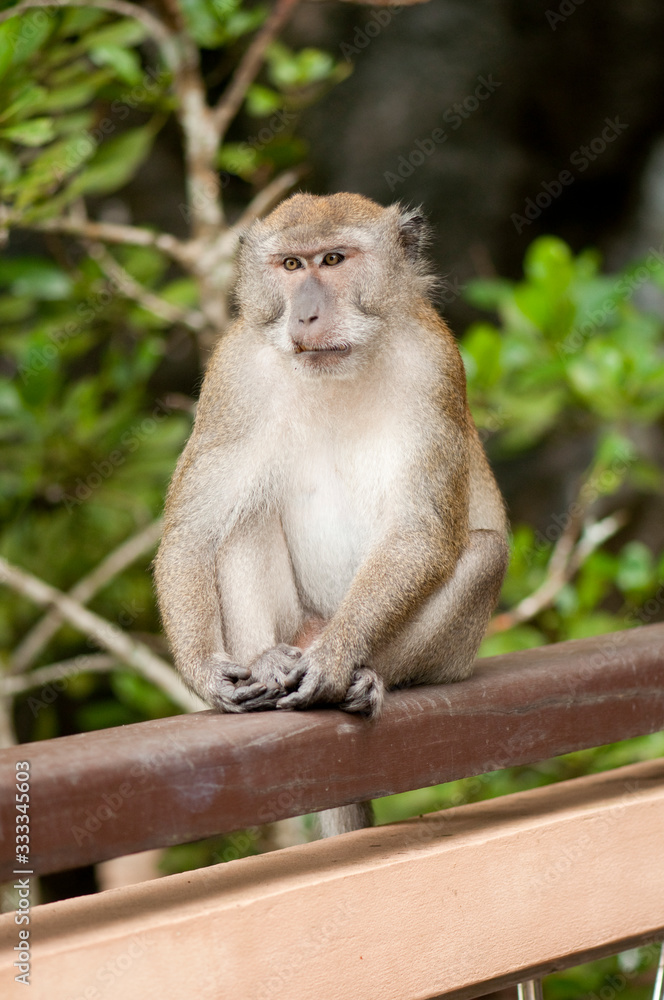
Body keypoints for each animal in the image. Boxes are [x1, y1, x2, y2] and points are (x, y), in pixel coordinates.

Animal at [156, 189, 508, 836]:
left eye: (335, 259)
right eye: (292, 265)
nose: (307, 316)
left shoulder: (437, 364)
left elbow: (420, 533)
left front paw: (337, 661)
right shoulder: (233, 372)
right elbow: (195, 531)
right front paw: (205, 671)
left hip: (453, 656)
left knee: (484, 553)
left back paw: (362, 680)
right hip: (296, 622)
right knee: (242, 521)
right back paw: (268, 662)